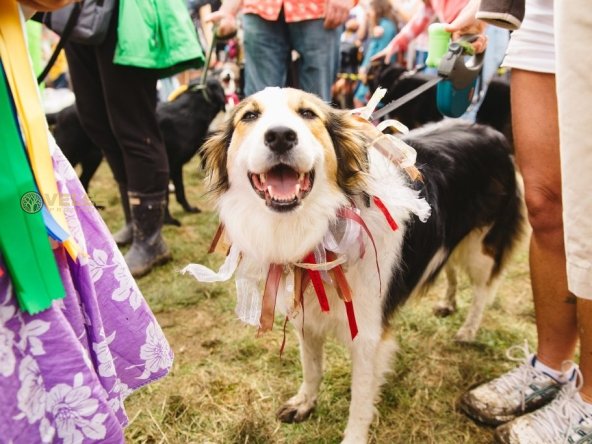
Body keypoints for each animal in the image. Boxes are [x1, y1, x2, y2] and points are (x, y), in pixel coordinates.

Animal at [53, 77, 227, 225]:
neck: (190, 112)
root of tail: (61, 112)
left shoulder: (177, 166)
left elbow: (180, 190)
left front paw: (188, 209)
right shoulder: (166, 166)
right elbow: (165, 197)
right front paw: (169, 220)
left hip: (93, 159)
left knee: (83, 181)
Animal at [188, 87, 524, 444]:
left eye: (308, 114)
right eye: (249, 116)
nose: (280, 136)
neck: (320, 226)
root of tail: (491, 132)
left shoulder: (368, 335)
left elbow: (360, 398)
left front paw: (353, 435)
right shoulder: (306, 316)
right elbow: (311, 367)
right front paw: (305, 402)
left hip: (481, 247)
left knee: (484, 291)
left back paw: (468, 329)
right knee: (448, 268)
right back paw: (448, 303)